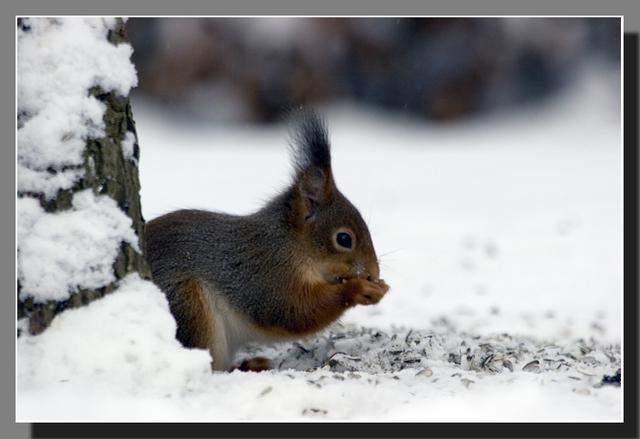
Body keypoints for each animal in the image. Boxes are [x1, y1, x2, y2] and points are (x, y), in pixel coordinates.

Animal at [142, 111, 388, 372]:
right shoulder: (266, 276)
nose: (373, 272)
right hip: (187, 305)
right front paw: (359, 289)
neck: (289, 245)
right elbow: (295, 311)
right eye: (344, 238)